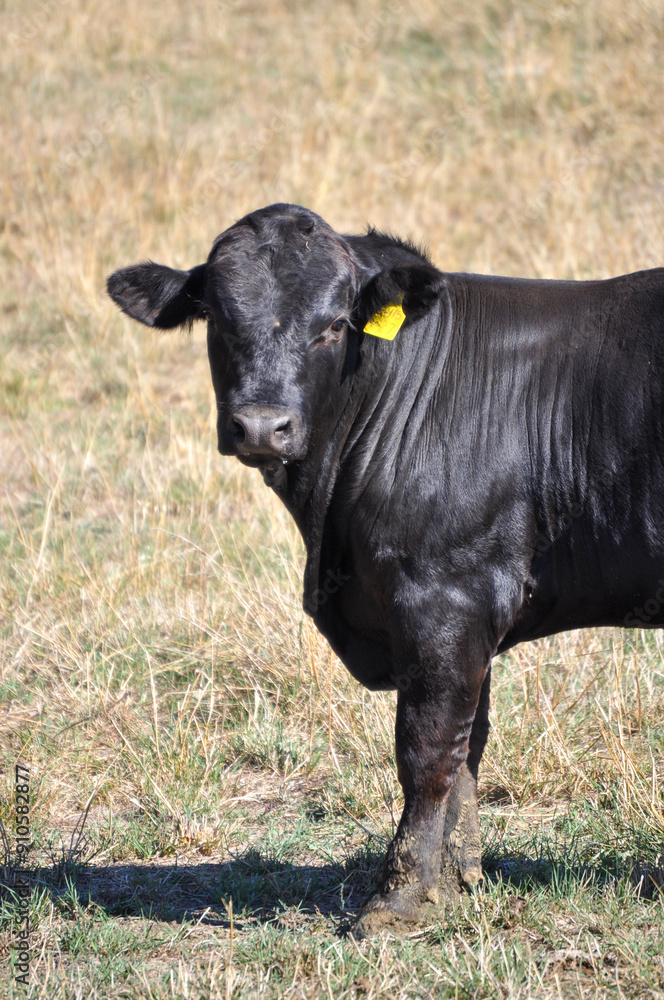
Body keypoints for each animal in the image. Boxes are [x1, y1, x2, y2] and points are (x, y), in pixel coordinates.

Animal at [107, 202, 664, 938]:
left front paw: (395, 899)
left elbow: (426, 752)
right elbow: (466, 748)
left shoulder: (446, 596)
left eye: (334, 326)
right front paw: (453, 883)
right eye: (220, 320)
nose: (261, 426)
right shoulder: (456, 615)